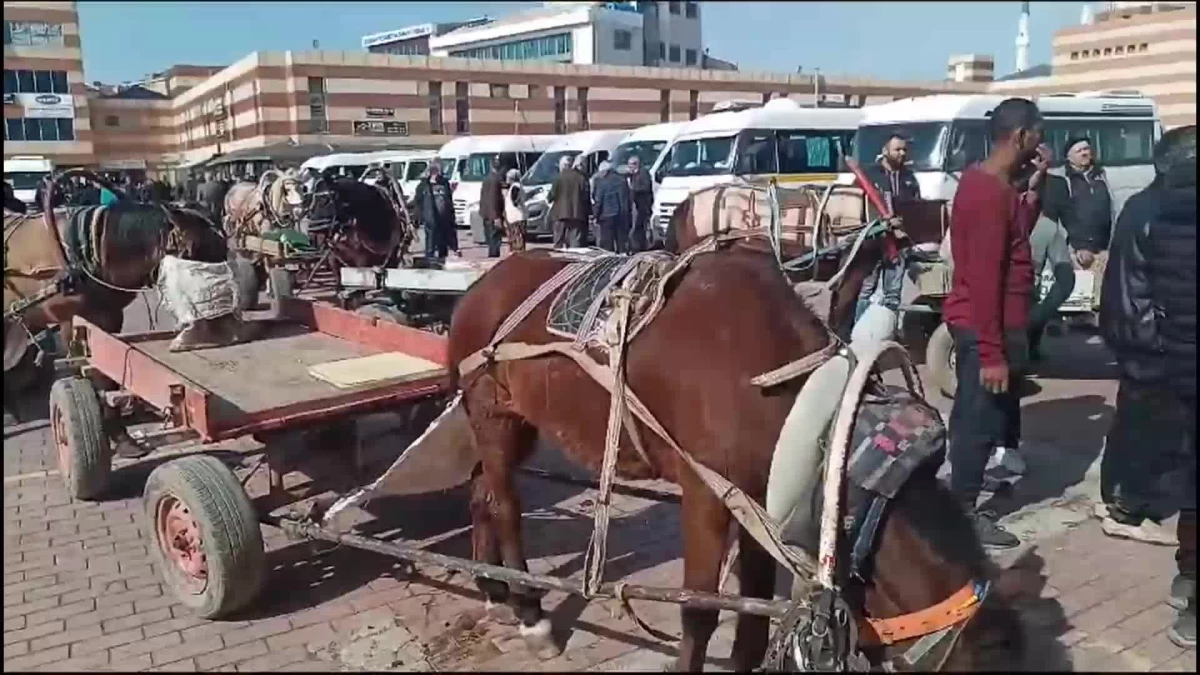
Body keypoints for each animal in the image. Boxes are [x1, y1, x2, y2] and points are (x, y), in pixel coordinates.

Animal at [444, 183, 1032, 667]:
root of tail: (479, 287)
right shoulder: (705, 495)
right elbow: (700, 611)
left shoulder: (758, 499)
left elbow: (753, 616)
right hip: (494, 416)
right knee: (506, 505)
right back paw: (528, 611)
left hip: (517, 422)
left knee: (481, 493)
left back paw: (493, 588)